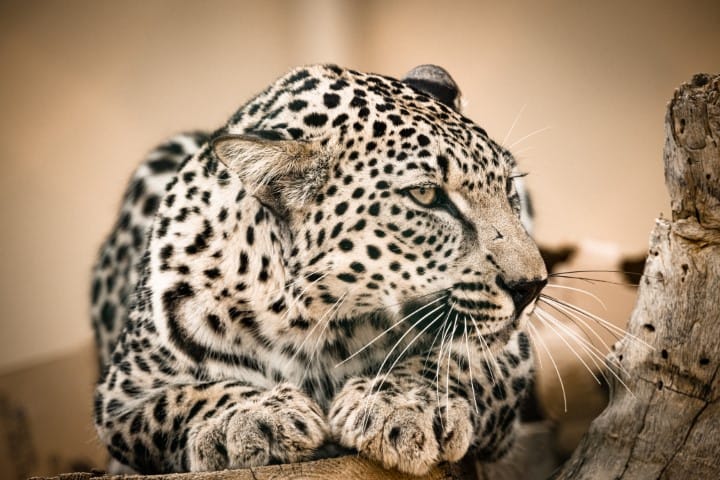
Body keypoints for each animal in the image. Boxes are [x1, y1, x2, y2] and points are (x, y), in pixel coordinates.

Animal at [91, 63, 547, 475]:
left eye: (508, 186)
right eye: (425, 195)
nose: (532, 287)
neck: (312, 323)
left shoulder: (512, 353)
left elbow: (452, 361)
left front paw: (402, 405)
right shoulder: (120, 397)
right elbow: (183, 397)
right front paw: (250, 417)